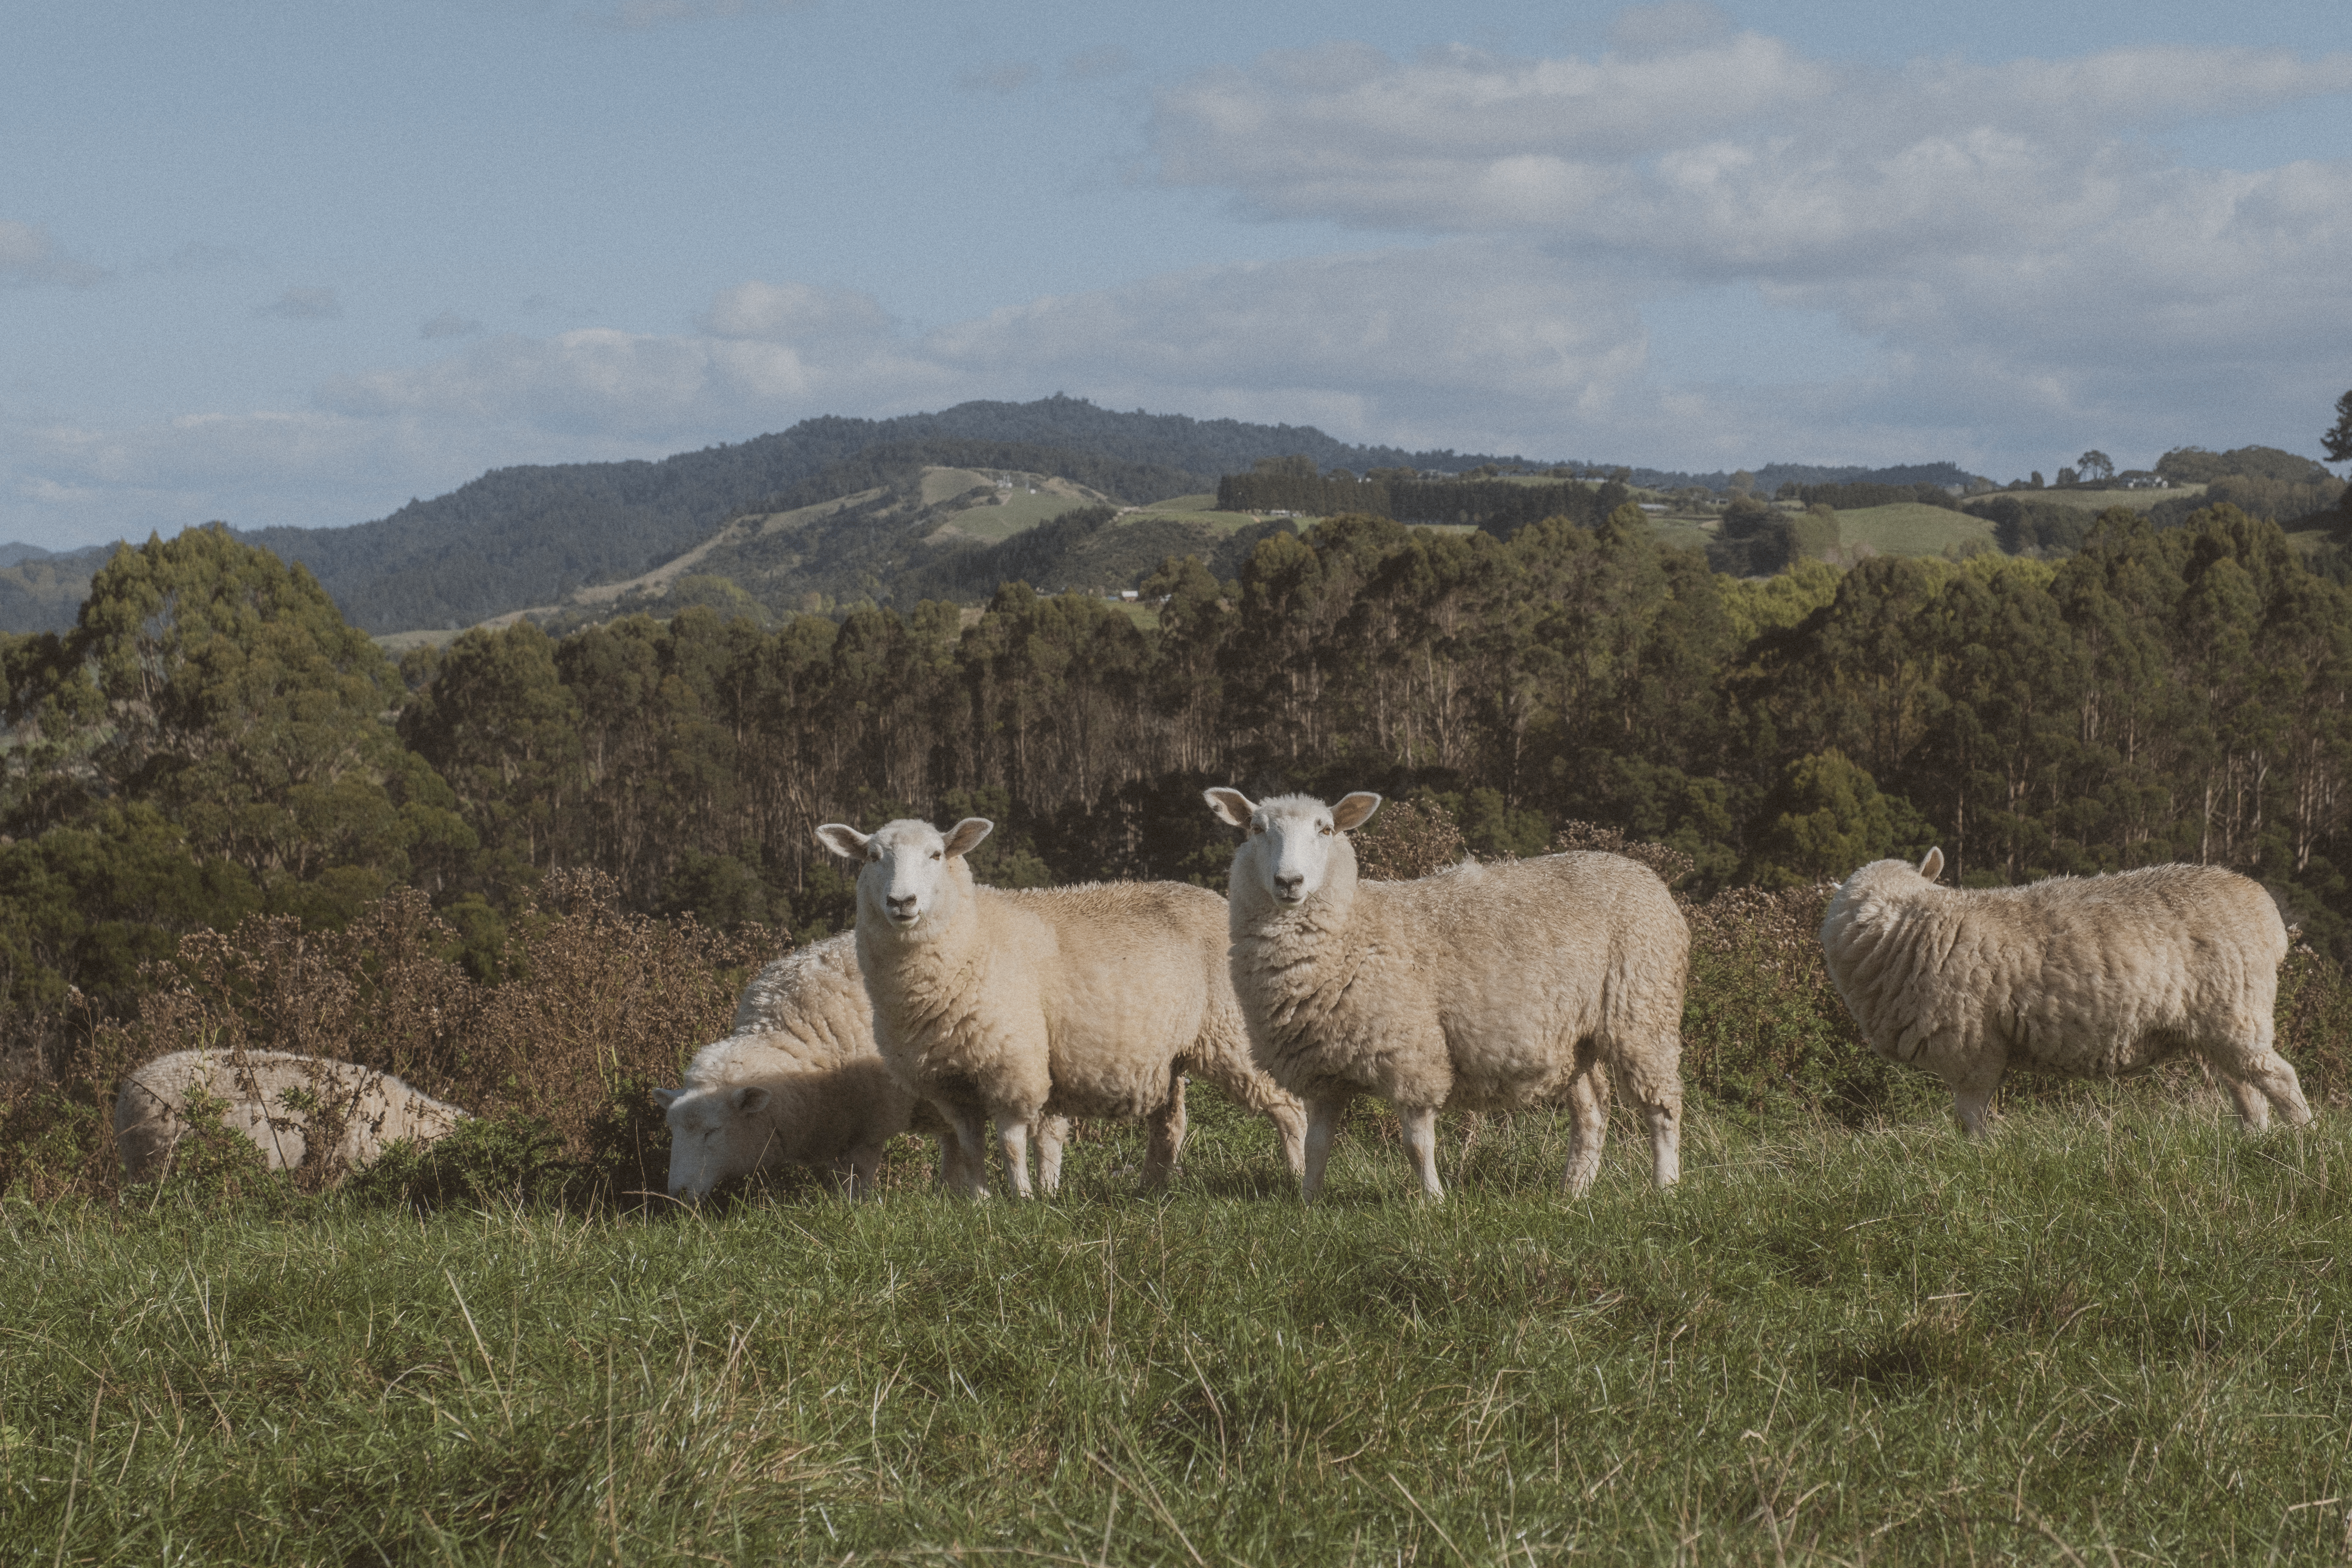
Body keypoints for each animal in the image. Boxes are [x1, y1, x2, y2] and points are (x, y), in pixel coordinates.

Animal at [653, 931, 1068, 1201]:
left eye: (713, 1131)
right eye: (673, 1130)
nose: (678, 1194)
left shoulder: (871, 1120)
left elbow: (861, 1176)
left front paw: (857, 1212)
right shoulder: (836, 1120)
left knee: (1048, 1137)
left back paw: (1046, 1193)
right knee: (957, 1143)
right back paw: (953, 1198)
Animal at [812, 816, 1308, 1198]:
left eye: (936, 855)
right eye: (872, 857)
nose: (902, 902)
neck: (973, 938)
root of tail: (1218, 901)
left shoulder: (1012, 1065)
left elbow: (1012, 1142)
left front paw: (1022, 1198)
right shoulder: (948, 1082)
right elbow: (971, 1146)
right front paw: (978, 1201)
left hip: (1235, 1032)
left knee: (1289, 1107)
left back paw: (1299, 1177)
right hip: (1168, 1054)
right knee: (1170, 1125)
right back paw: (1150, 1190)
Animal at [1207, 788, 1689, 1202]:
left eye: (1325, 829)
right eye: (1255, 828)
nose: (1290, 881)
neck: (1354, 930)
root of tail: (1645, 873)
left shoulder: (1414, 1056)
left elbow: (1417, 1144)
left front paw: (1433, 1201)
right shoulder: (1322, 1072)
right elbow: (1317, 1145)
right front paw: (1308, 1202)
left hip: (1644, 1008)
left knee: (1662, 1107)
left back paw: (1665, 1188)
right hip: (1576, 1036)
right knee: (1592, 1110)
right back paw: (1574, 1191)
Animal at [1819, 848, 2313, 1135]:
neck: (1917, 927)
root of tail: (2266, 913)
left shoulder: (1975, 1049)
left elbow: (1970, 1116)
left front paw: (1978, 1157)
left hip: (2237, 1011)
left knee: (2279, 1078)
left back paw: (2305, 1139)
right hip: (2214, 1028)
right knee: (2246, 1087)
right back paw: (2255, 1139)